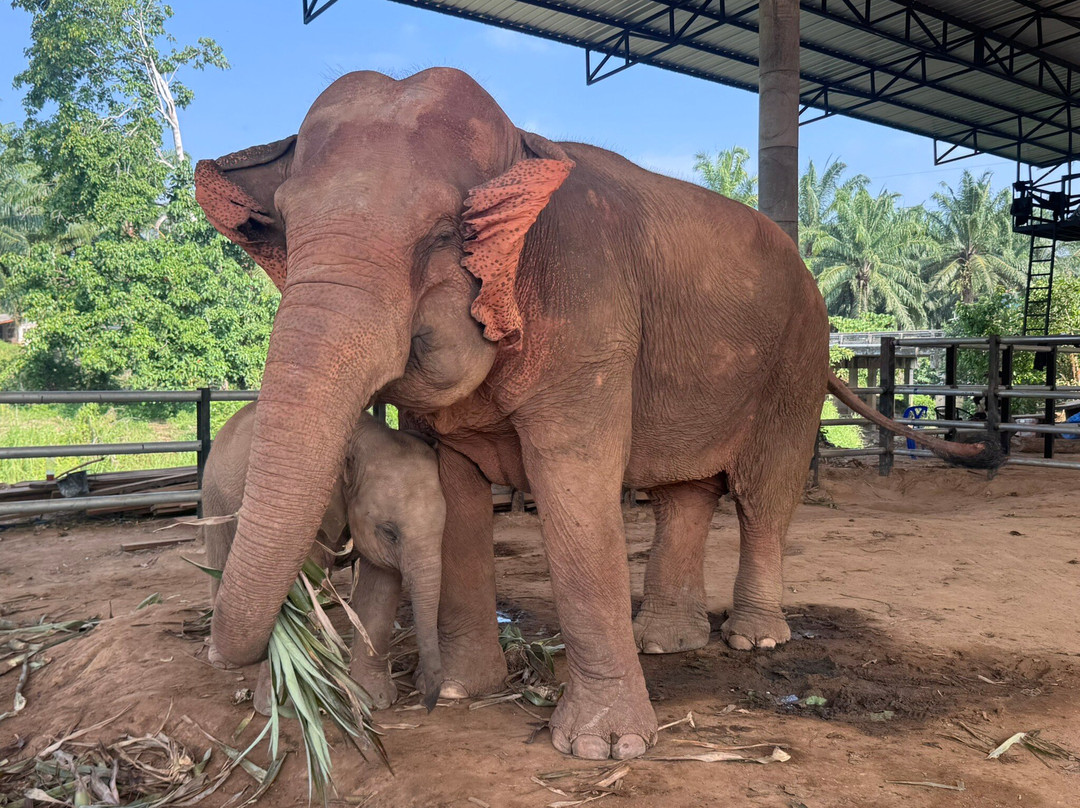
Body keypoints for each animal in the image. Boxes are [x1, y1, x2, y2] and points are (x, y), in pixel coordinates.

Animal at [201, 402, 446, 710]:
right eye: (390, 532)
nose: (429, 703)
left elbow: (380, 584)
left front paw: (375, 701)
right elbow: (298, 583)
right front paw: (278, 706)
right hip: (214, 494)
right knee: (219, 555)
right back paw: (222, 661)